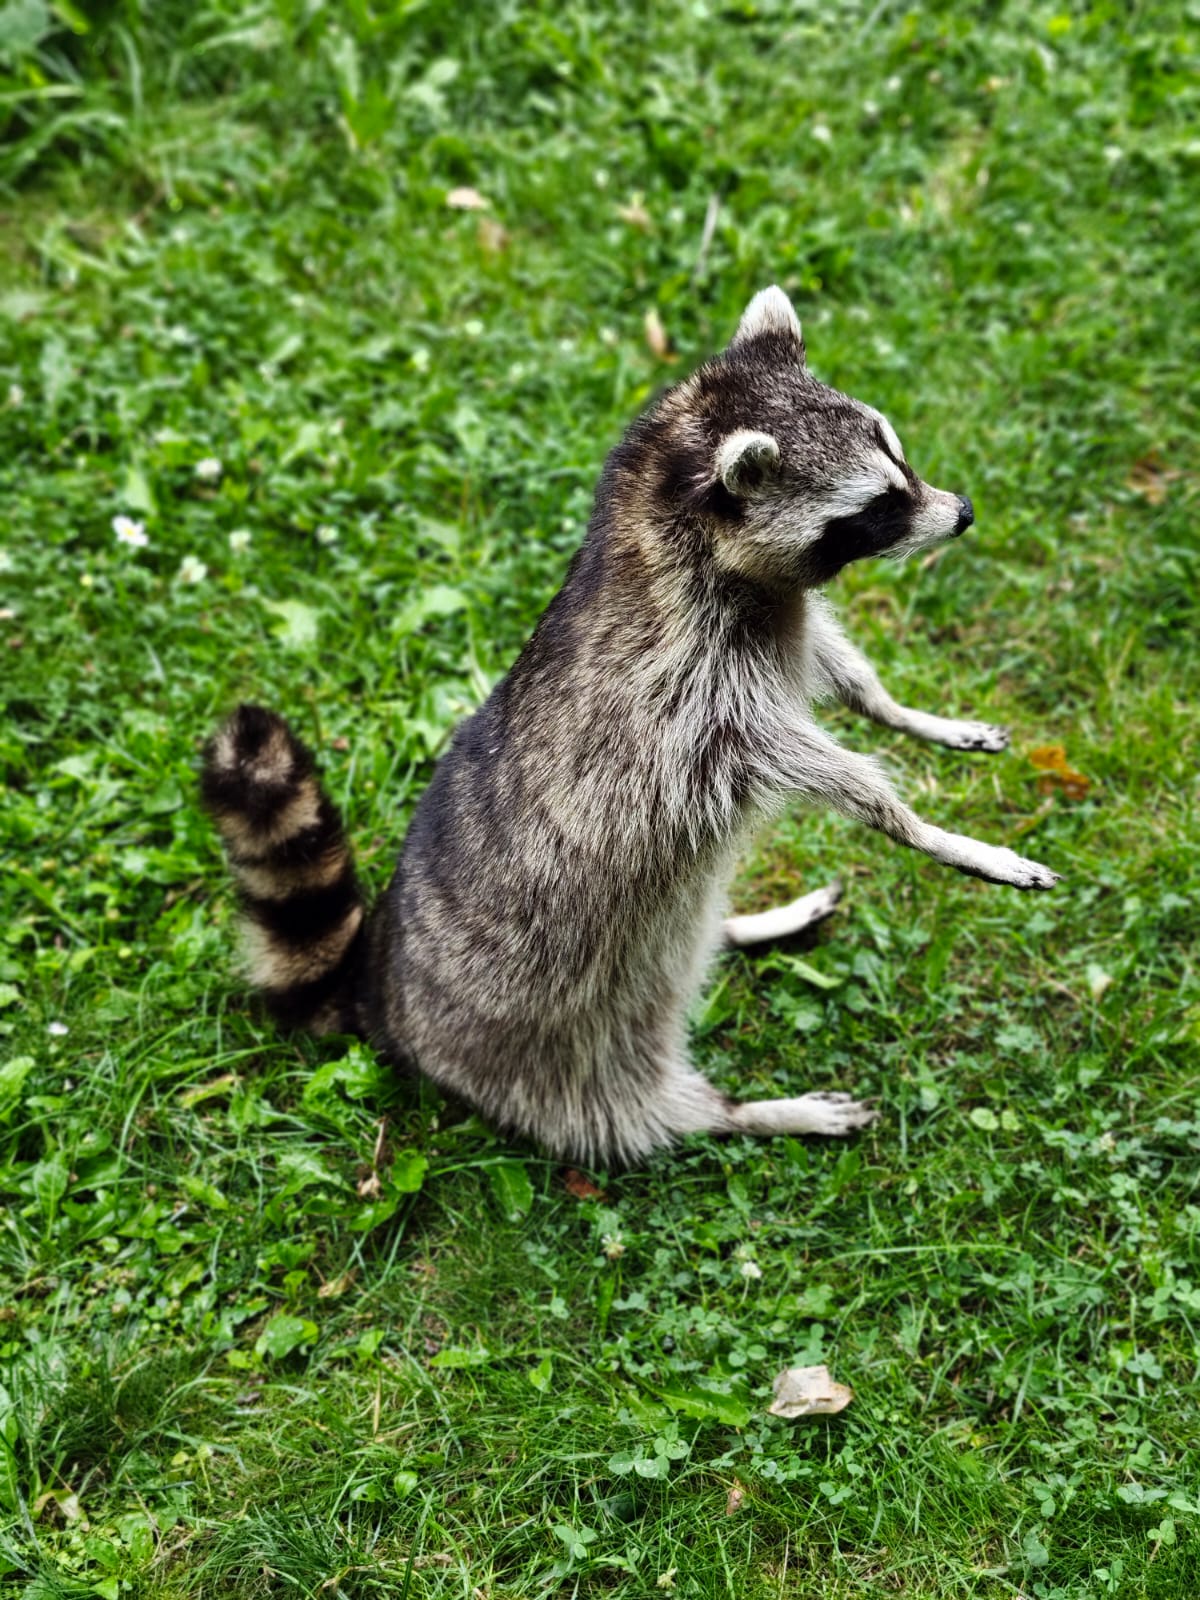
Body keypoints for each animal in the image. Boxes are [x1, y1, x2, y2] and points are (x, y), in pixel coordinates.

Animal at [202, 287, 1058, 1169]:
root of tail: (385, 994)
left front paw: (915, 717)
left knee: (692, 930)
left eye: (900, 458)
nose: (962, 513)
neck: (673, 538)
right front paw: (935, 834)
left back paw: (740, 926)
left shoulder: (776, 633)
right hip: (541, 1046)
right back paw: (753, 1110)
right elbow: (831, 772)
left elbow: (847, 674)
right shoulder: (691, 700)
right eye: (879, 506)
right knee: (640, 1103)